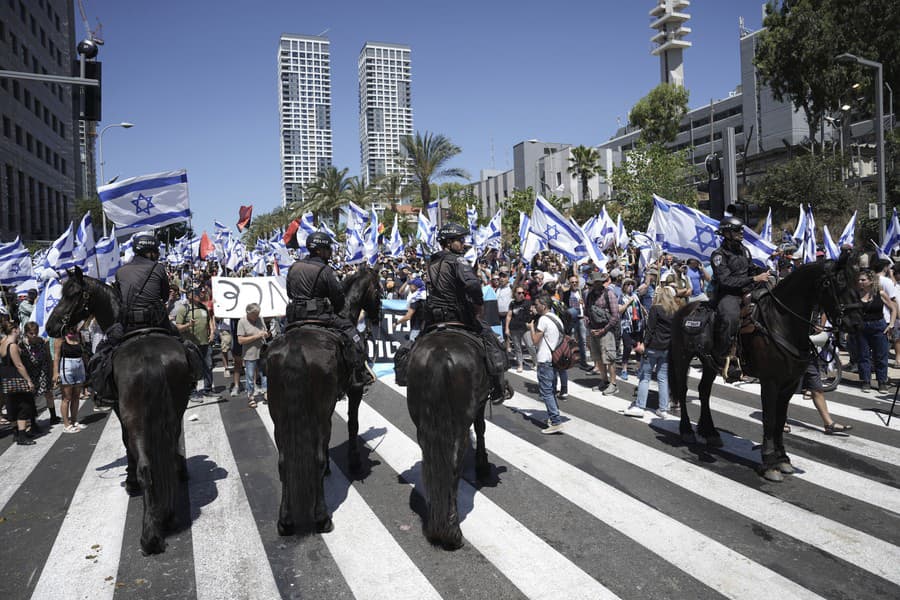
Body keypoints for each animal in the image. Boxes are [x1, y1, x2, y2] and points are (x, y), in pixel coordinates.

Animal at [46, 268, 191, 552]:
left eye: (72, 295)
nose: (50, 327)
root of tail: (151, 357)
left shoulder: (117, 409)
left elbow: (125, 444)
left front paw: (130, 480)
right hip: (174, 410)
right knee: (167, 455)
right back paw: (168, 513)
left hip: (135, 417)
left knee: (146, 467)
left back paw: (150, 535)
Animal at [266, 268, 382, 536]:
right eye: (379, 288)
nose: (378, 316)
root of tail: (296, 349)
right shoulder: (354, 391)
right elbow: (352, 425)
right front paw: (354, 461)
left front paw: (332, 466)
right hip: (318, 410)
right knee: (315, 457)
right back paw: (322, 518)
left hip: (279, 416)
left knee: (283, 462)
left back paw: (285, 521)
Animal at [408, 328, 492, 548]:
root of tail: (439, 353)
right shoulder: (481, 402)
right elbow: (481, 427)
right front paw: (482, 464)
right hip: (461, 423)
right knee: (454, 467)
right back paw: (452, 533)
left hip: (422, 424)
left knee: (430, 463)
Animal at [672, 253, 860, 482]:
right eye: (837, 282)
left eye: (856, 281)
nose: (856, 323)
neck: (781, 322)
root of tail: (683, 309)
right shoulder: (770, 382)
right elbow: (769, 419)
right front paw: (770, 462)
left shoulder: (789, 384)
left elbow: (780, 419)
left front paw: (783, 459)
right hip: (682, 357)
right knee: (682, 390)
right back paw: (686, 430)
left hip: (709, 363)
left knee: (704, 392)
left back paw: (711, 433)